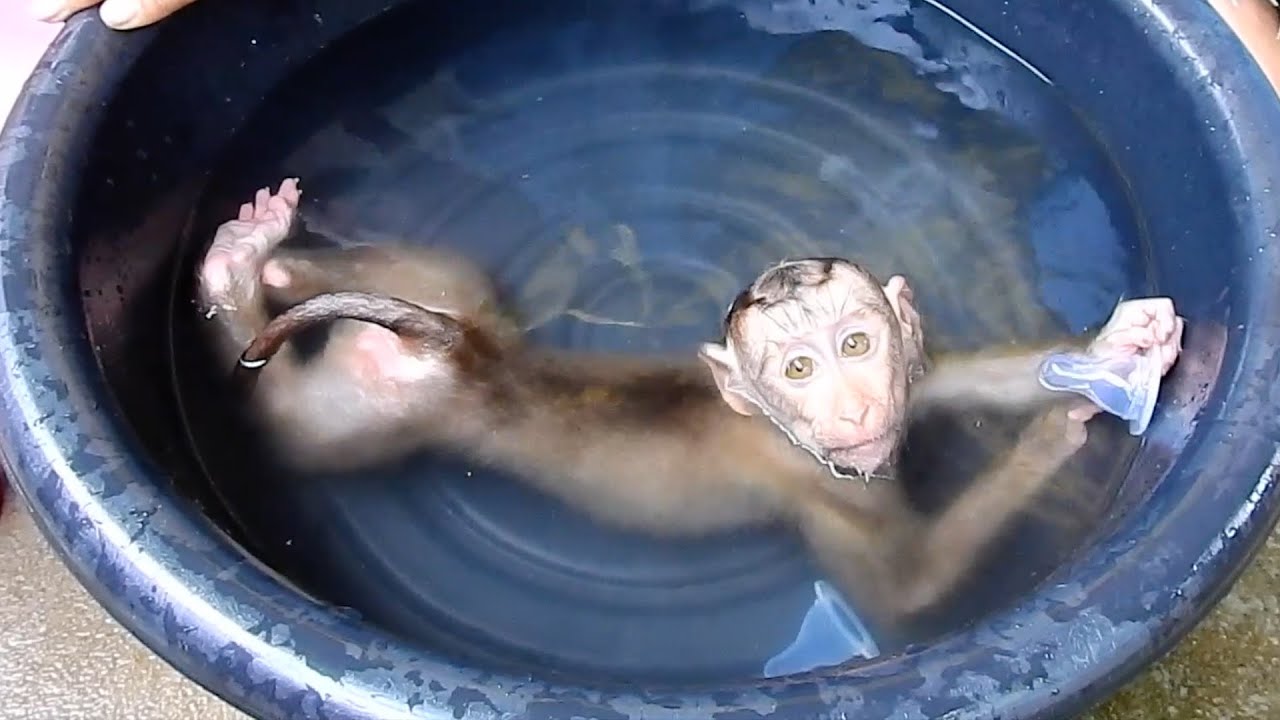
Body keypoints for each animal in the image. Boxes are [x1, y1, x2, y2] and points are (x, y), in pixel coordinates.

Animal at [196, 178, 1185, 625]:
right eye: (797, 370)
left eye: (856, 346)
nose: (857, 412)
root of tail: (457, 353)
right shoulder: (833, 494)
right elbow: (906, 597)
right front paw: (1052, 437)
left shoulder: (915, 377)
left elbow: (966, 376)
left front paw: (1114, 351)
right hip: (370, 418)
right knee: (286, 423)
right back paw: (239, 291)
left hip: (445, 293)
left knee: (427, 279)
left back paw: (266, 264)